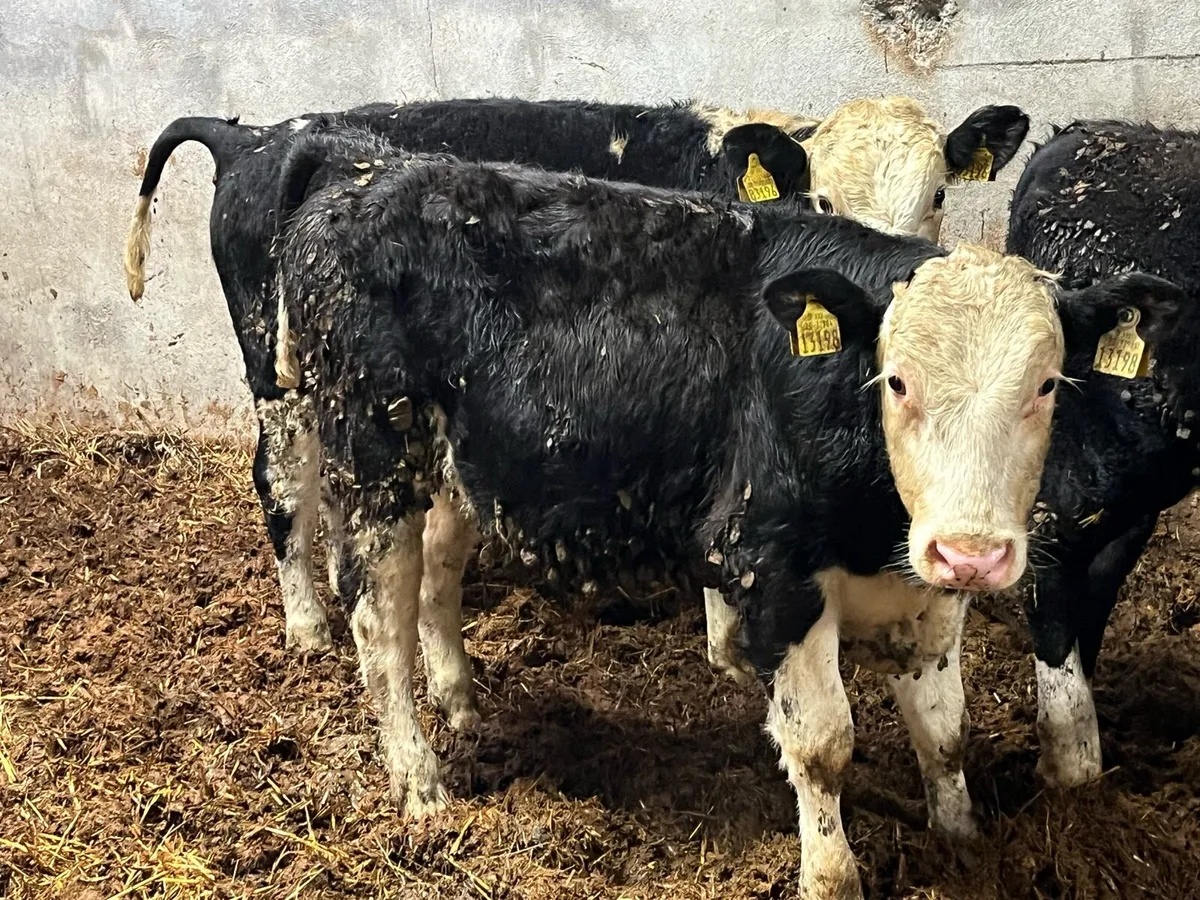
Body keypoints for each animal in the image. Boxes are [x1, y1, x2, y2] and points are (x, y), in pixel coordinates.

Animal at [121, 96, 1031, 662]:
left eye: (939, 195)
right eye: (823, 195)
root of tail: (258, 137)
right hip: (278, 380)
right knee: (280, 482)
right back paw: (308, 624)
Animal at [271, 129, 1180, 900]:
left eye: (1047, 384)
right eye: (896, 380)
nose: (973, 553)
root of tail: (366, 172)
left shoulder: (925, 594)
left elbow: (944, 729)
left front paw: (960, 839)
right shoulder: (767, 567)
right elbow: (823, 746)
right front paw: (830, 877)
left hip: (459, 467)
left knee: (437, 577)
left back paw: (461, 702)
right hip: (369, 460)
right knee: (377, 621)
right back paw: (421, 783)